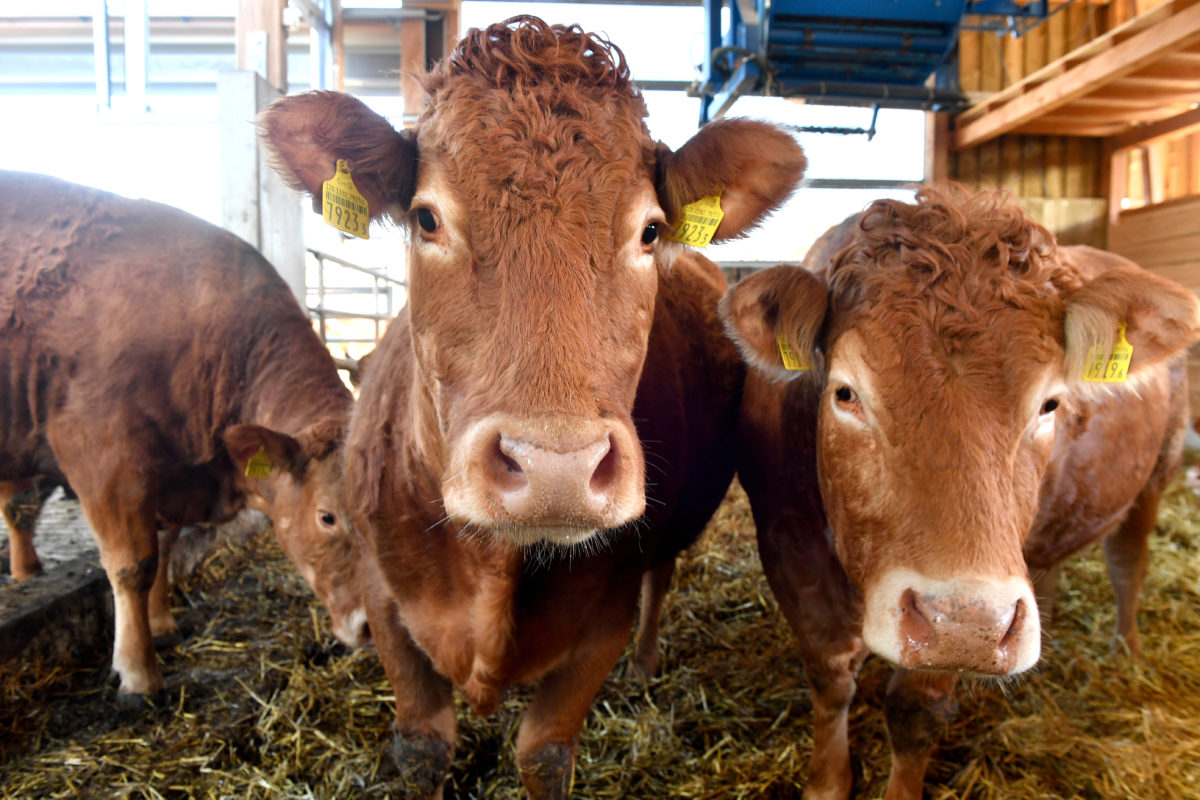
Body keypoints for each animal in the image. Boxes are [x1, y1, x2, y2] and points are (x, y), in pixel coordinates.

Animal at [0, 172, 364, 705]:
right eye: (327, 518)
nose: (372, 625)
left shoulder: (168, 477)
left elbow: (165, 550)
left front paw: (162, 624)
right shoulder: (103, 457)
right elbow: (132, 564)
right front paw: (137, 673)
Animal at [264, 14, 806, 800]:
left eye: (649, 230)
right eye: (426, 218)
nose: (557, 468)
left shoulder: (601, 622)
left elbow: (545, 752)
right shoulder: (384, 601)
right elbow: (422, 745)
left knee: (662, 577)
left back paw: (645, 666)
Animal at [715, 183, 1200, 800]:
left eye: (1050, 403)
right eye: (846, 393)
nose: (965, 624)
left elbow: (914, 712)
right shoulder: (787, 550)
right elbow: (829, 678)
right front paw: (826, 783)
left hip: (1156, 472)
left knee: (1127, 561)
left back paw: (1127, 650)